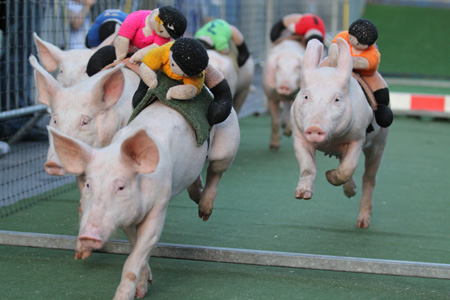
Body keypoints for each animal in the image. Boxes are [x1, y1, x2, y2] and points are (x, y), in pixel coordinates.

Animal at [47, 99, 241, 298]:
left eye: (121, 187)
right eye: (88, 185)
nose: (87, 235)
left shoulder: (160, 204)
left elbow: (136, 256)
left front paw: (125, 297)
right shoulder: (126, 217)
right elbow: (135, 246)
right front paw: (142, 290)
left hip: (227, 143)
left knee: (215, 171)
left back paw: (204, 212)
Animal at [290, 38, 388, 229]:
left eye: (337, 99)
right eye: (306, 97)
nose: (315, 128)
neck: (331, 140)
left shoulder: (358, 137)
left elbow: (348, 168)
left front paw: (329, 175)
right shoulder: (299, 135)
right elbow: (307, 166)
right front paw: (302, 195)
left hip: (380, 142)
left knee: (369, 177)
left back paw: (362, 223)